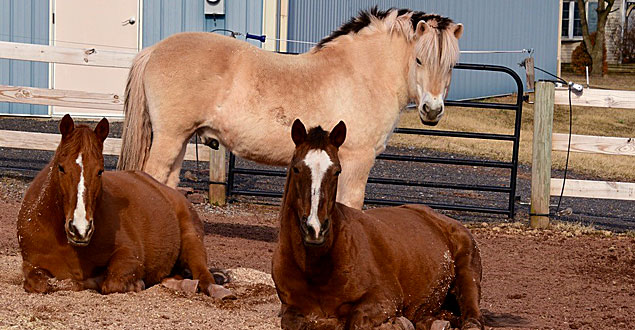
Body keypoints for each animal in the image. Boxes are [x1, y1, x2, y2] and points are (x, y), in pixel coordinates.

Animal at [18, 114, 234, 300]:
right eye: (61, 167)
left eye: (100, 171)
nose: (80, 229)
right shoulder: (31, 264)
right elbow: (38, 284)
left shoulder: (130, 257)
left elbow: (110, 282)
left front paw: (133, 283)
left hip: (192, 239)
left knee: (204, 276)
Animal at [118, 7, 462, 209]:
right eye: (419, 59)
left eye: (451, 64)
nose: (432, 110)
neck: (362, 73)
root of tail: (154, 50)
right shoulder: (357, 162)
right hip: (169, 137)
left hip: (179, 139)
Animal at [270, 120, 484, 328]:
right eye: (296, 168)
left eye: (337, 171)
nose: (315, 229)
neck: (317, 267)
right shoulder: (291, 308)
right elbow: (296, 323)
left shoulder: (385, 298)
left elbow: (355, 321)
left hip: (468, 276)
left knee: (472, 320)